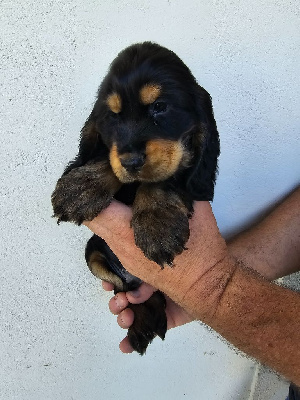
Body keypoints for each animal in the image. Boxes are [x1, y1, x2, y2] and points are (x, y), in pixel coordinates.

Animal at [52, 42, 220, 354]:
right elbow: (107, 158)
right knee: (125, 288)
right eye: (113, 116)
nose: (131, 161)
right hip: (93, 254)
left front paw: (157, 224)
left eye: (160, 107)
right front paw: (79, 189)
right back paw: (142, 323)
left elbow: (164, 178)